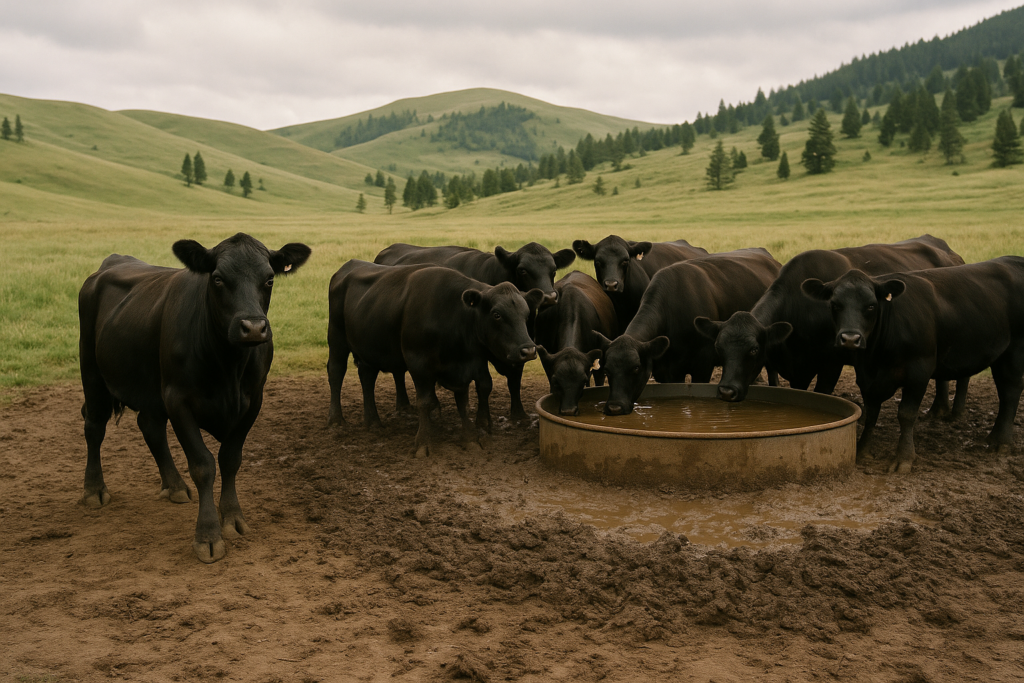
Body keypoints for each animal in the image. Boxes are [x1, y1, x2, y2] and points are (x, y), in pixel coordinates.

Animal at [78, 233, 311, 563]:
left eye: (269, 279)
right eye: (217, 278)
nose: (253, 328)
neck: (228, 365)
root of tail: (113, 261)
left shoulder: (253, 401)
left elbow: (230, 459)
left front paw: (233, 518)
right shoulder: (179, 400)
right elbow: (203, 465)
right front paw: (208, 535)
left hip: (150, 387)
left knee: (149, 426)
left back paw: (174, 485)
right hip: (92, 369)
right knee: (95, 427)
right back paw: (94, 489)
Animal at [326, 261, 543, 457]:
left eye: (526, 314)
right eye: (497, 314)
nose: (528, 350)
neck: (453, 315)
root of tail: (350, 265)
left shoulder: (466, 365)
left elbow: (464, 401)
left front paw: (470, 439)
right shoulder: (418, 364)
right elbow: (425, 402)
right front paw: (423, 443)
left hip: (368, 350)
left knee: (367, 377)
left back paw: (372, 421)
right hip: (337, 340)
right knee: (336, 372)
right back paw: (336, 420)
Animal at [374, 242, 575, 419]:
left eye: (554, 270)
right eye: (523, 270)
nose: (549, 297)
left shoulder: (521, 343)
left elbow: (515, 379)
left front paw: (519, 414)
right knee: (399, 371)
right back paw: (404, 406)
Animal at [694, 235, 967, 410]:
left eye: (753, 350)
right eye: (719, 348)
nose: (727, 391)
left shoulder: (831, 363)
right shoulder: (796, 367)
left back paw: (947, 411)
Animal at [801, 256, 1024, 473]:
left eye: (871, 305)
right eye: (835, 304)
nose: (850, 339)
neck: (877, 357)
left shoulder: (919, 372)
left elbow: (906, 414)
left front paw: (904, 458)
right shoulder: (865, 377)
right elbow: (871, 412)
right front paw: (863, 450)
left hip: (1014, 351)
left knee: (1010, 392)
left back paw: (1002, 442)